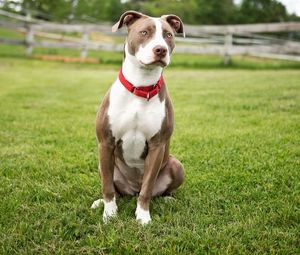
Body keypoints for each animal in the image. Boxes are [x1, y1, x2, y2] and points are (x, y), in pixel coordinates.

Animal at [91, 10, 185, 224]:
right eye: (144, 32)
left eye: (168, 35)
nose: (160, 50)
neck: (141, 87)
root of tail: (132, 189)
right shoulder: (105, 143)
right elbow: (107, 187)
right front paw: (109, 214)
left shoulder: (157, 145)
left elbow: (147, 188)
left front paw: (143, 217)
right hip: (103, 164)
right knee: (114, 188)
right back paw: (100, 202)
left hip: (176, 165)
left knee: (153, 190)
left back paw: (168, 199)